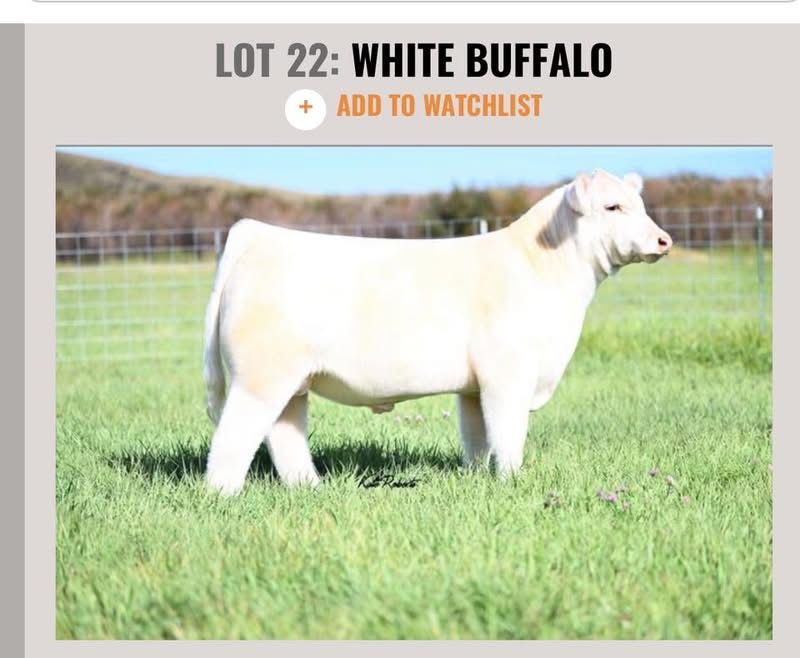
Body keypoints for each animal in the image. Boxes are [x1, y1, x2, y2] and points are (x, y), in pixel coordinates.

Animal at [203, 169, 672, 494]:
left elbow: (478, 435)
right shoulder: (509, 374)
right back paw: (222, 494)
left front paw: (477, 476)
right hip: (260, 377)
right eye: (612, 207)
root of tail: (254, 234)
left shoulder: (474, 385)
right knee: (235, 435)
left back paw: (310, 487)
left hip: (292, 382)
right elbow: (508, 432)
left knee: (285, 433)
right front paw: (512, 480)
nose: (664, 240)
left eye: (640, 204)